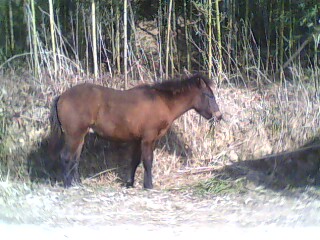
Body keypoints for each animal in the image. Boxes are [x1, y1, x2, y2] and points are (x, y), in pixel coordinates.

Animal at [48, 73, 222, 189]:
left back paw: (77, 183)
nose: (219, 116)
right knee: (66, 157)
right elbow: (147, 161)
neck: (162, 102)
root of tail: (61, 96)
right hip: (74, 135)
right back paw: (68, 185)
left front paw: (130, 184)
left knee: (75, 159)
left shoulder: (138, 140)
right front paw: (148, 185)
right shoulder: (148, 139)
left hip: (80, 136)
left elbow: (135, 161)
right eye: (208, 95)